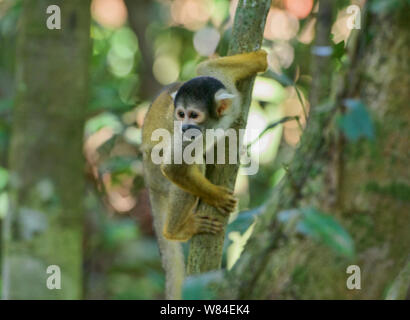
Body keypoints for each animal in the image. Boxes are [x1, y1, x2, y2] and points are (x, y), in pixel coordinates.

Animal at [142, 48, 270, 298]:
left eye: (193, 115)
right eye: (180, 114)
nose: (184, 126)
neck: (212, 125)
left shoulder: (230, 92)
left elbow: (207, 68)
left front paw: (258, 59)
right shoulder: (187, 137)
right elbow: (174, 166)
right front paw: (217, 196)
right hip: (156, 171)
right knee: (190, 166)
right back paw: (175, 231)